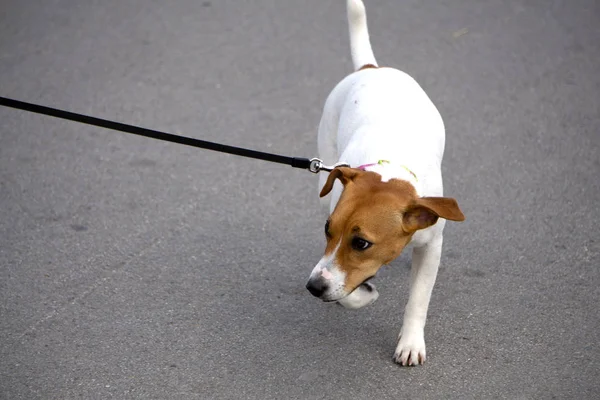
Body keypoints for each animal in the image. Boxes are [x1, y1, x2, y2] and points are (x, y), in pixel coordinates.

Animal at [308, 0, 466, 366]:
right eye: (327, 230)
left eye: (361, 243)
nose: (313, 287)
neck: (390, 169)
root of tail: (372, 68)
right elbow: (347, 289)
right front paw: (363, 293)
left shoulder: (432, 246)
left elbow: (419, 299)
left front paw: (410, 342)